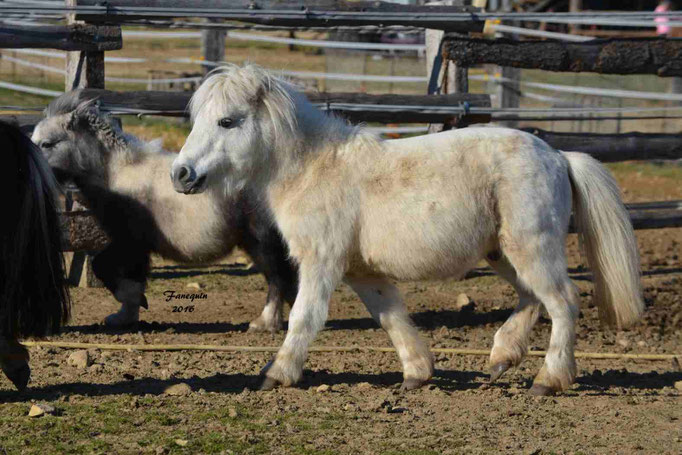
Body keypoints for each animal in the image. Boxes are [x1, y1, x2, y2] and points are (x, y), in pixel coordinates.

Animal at [31, 92, 296, 334]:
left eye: (47, 143)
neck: (116, 173)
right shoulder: (132, 244)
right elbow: (123, 272)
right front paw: (125, 316)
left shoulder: (131, 242)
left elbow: (108, 269)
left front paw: (132, 305)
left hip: (262, 241)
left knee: (278, 278)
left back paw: (265, 323)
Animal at [173, 64, 640, 396]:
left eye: (227, 121)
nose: (181, 175)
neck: (313, 169)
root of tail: (558, 156)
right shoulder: (362, 273)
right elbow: (391, 316)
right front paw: (417, 373)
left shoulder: (321, 263)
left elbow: (304, 317)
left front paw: (277, 374)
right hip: (504, 253)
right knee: (531, 299)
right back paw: (501, 356)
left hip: (532, 248)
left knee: (563, 303)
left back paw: (549, 379)